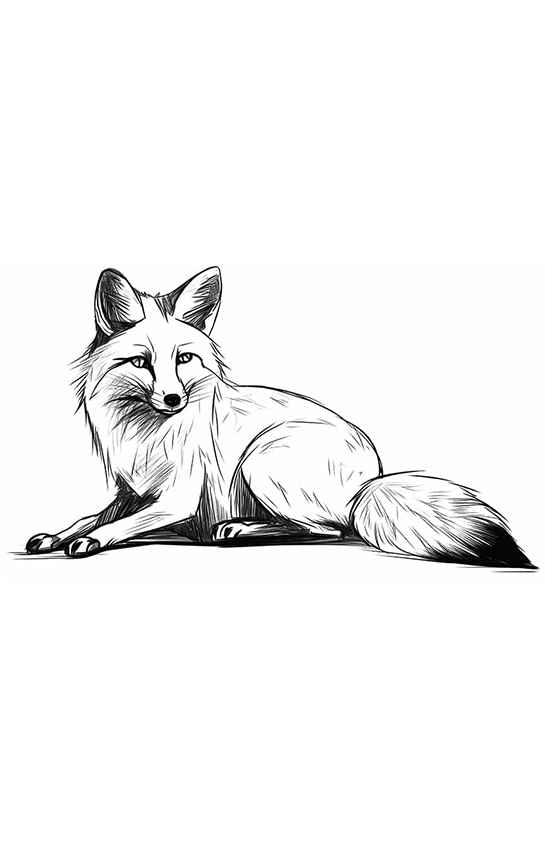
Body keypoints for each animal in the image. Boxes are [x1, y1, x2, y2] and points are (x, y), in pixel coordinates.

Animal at [26, 266, 534, 568]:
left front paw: (91, 541)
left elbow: (116, 526)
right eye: (141, 362)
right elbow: (89, 516)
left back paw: (239, 530)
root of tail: (371, 481)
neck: (147, 432)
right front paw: (56, 535)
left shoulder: (177, 499)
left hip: (262, 461)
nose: (172, 399)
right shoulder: (129, 490)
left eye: (184, 359)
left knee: (328, 530)